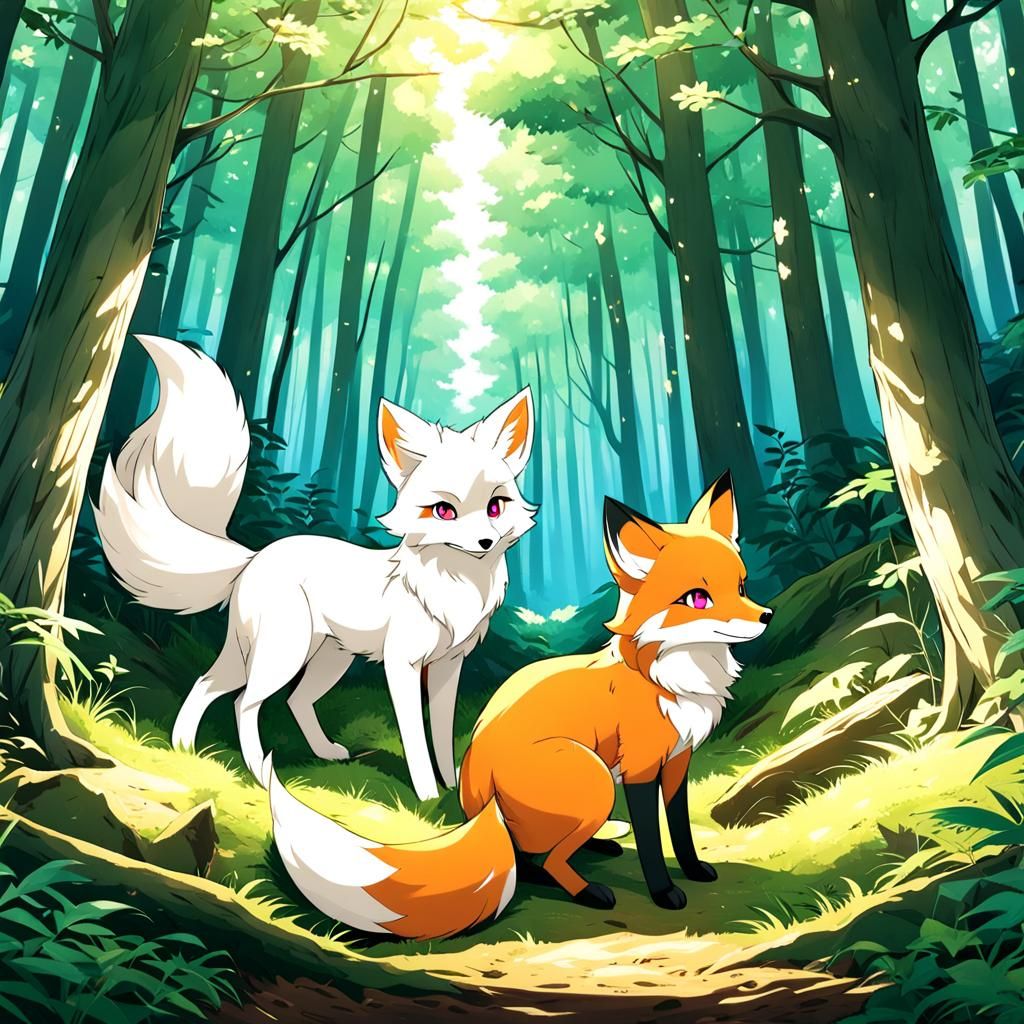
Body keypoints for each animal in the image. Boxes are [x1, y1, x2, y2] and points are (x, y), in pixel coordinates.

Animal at [94, 335, 536, 801]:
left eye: (495, 507)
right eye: (444, 511)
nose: (485, 542)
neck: (453, 587)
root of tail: (255, 556)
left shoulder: (449, 667)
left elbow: (444, 737)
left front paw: (455, 791)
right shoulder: (402, 666)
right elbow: (417, 741)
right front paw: (429, 798)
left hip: (316, 659)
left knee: (245, 691)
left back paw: (193, 751)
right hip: (283, 654)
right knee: (244, 702)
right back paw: (258, 773)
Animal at [268, 471, 773, 939]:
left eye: (742, 586)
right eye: (698, 599)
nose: (766, 616)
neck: (667, 678)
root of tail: (477, 798)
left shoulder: (677, 761)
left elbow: (681, 829)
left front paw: (694, 870)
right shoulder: (642, 768)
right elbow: (651, 841)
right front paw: (664, 892)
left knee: (534, 849)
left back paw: (598, 847)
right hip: (594, 775)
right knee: (538, 860)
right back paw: (587, 889)